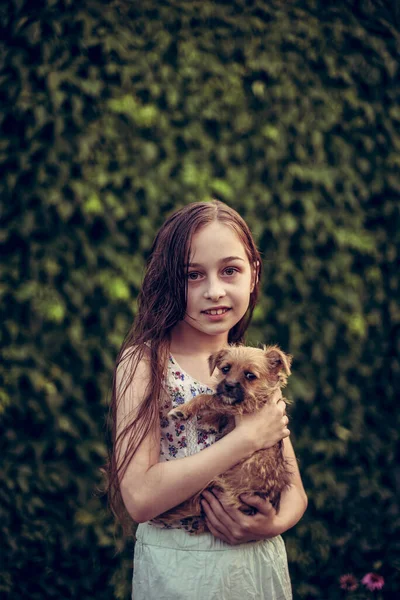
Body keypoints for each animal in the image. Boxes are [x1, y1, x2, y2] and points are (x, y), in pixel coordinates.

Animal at [156, 344, 294, 532]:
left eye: (250, 375)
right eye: (225, 369)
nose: (228, 385)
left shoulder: (245, 405)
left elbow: (209, 398)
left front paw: (183, 410)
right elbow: (219, 404)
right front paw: (210, 421)